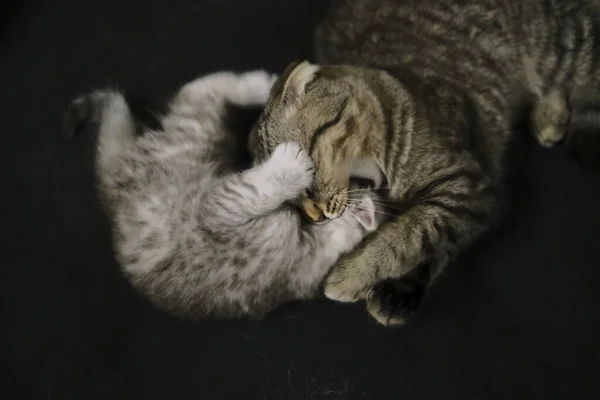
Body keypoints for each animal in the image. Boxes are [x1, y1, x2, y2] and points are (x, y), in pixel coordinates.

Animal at [63, 69, 384, 318]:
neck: (313, 247)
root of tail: (110, 187)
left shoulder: (218, 209)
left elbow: (255, 190)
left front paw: (289, 167)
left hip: (194, 129)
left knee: (199, 91)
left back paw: (263, 83)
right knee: (201, 88)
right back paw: (267, 83)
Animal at [251, 0, 600, 324]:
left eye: (306, 170)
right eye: (291, 203)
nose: (315, 215)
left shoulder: (469, 186)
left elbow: (414, 232)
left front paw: (352, 274)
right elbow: (434, 240)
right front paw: (399, 288)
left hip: (567, 42)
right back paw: (549, 115)